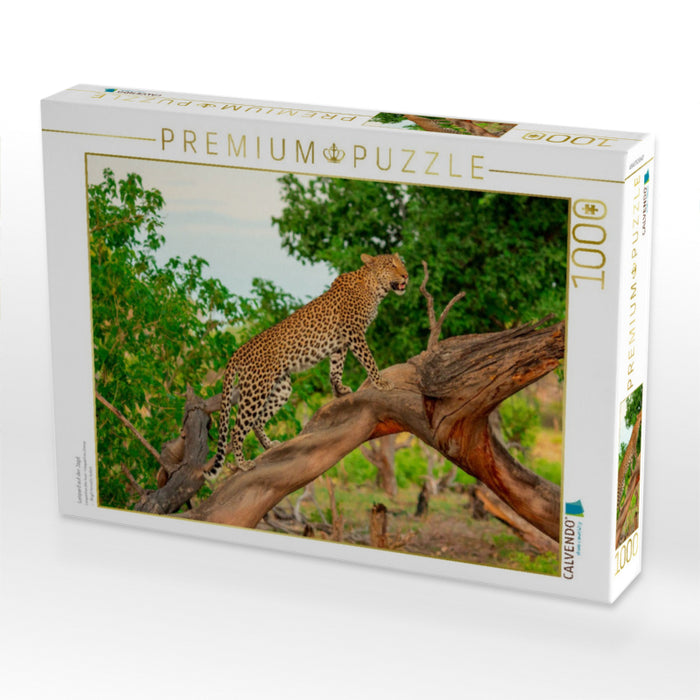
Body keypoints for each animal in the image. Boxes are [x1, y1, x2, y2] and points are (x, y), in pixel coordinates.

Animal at [207, 252, 408, 476]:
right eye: (391, 265)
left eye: (402, 263)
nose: (406, 276)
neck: (374, 289)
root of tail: (238, 352)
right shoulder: (354, 333)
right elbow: (369, 360)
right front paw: (380, 382)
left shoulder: (341, 342)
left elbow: (336, 368)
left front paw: (339, 390)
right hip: (256, 390)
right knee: (237, 429)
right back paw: (243, 464)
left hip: (281, 388)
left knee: (257, 421)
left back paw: (269, 445)